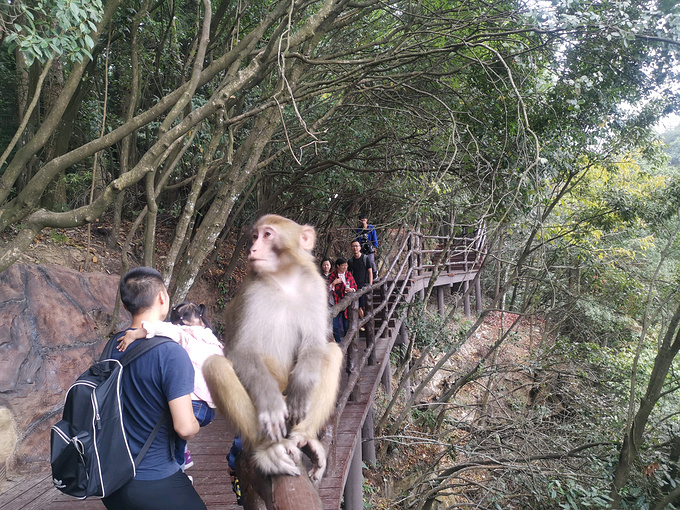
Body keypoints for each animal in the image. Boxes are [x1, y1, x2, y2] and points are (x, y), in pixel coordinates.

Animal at [201, 214, 340, 482]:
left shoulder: (316, 287)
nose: (253, 249)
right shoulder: (252, 292)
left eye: (267, 235)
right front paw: (271, 405)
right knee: (216, 365)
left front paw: (302, 385)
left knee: (334, 352)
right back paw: (267, 450)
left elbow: (315, 343)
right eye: (255, 236)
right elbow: (242, 351)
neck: (285, 279)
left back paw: (304, 437)